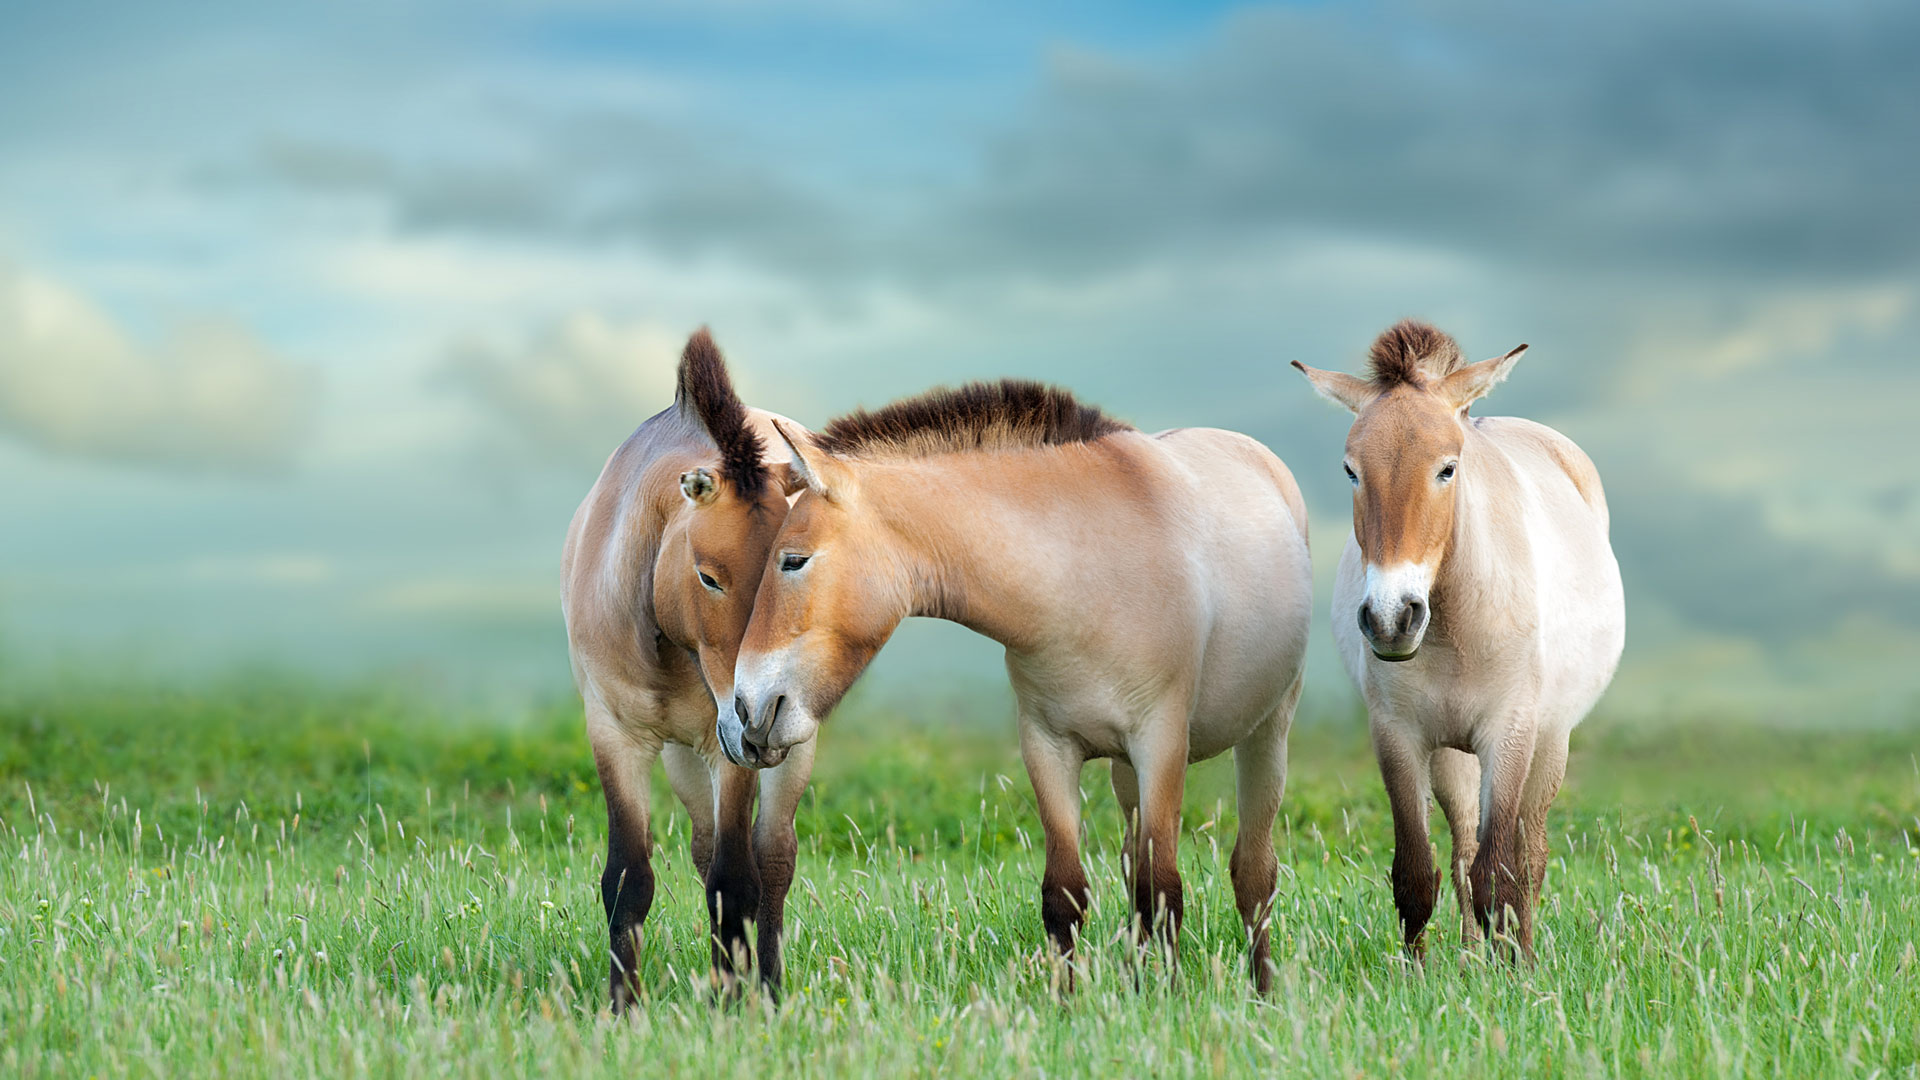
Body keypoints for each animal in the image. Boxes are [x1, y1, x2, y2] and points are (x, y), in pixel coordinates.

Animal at [561, 328, 814, 1007]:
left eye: (795, 564)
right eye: (709, 576)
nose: (756, 717)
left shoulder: (731, 749)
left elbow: (737, 881)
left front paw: (734, 1004)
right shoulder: (614, 735)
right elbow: (629, 879)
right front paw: (623, 1007)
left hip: (789, 744)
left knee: (772, 860)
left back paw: (768, 989)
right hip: (684, 754)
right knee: (705, 853)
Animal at [726, 381, 1313, 989]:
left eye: (793, 561)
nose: (747, 710)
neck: (1078, 573)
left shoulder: (1163, 744)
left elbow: (1165, 891)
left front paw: (1168, 999)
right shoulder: (1048, 747)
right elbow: (1067, 895)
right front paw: (1070, 1001)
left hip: (1264, 737)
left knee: (1253, 876)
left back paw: (1262, 992)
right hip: (1125, 771)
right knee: (1135, 869)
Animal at [1292, 320, 1625, 958]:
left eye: (1447, 468)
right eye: (1351, 471)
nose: (1392, 617)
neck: (1456, 627)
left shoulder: (1510, 733)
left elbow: (1502, 873)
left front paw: (1516, 971)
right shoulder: (1398, 737)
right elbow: (1418, 875)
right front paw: (1419, 972)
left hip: (1550, 742)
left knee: (1529, 854)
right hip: (1452, 754)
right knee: (1464, 844)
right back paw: (1471, 957)